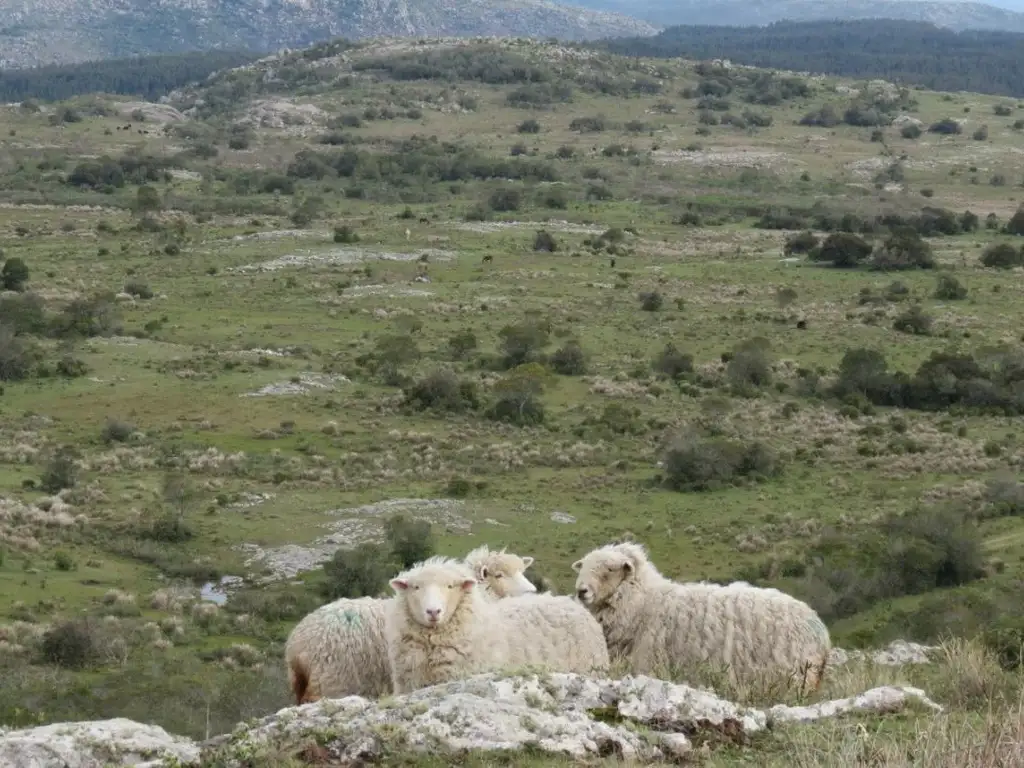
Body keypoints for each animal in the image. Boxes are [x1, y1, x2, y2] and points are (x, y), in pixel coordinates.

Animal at [573, 540, 827, 696]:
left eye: (609, 570)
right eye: (583, 566)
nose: (581, 591)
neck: (643, 602)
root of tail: (820, 630)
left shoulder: (647, 663)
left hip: (791, 677)